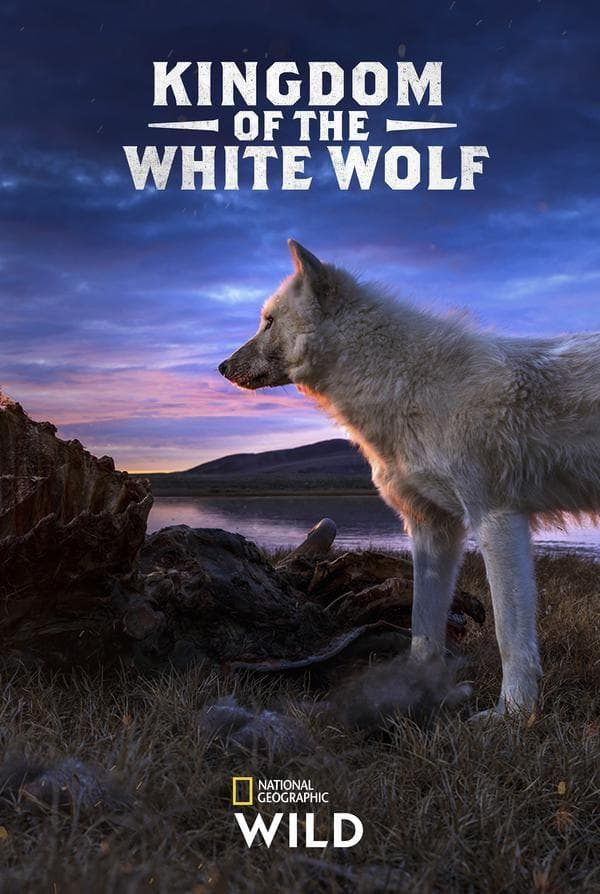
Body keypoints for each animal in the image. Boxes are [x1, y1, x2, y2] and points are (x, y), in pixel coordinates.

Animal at [219, 240, 600, 717]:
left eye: (268, 321)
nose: (222, 366)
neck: (404, 383)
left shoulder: (496, 519)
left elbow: (509, 636)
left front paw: (510, 714)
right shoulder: (431, 528)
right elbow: (422, 626)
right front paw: (412, 688)